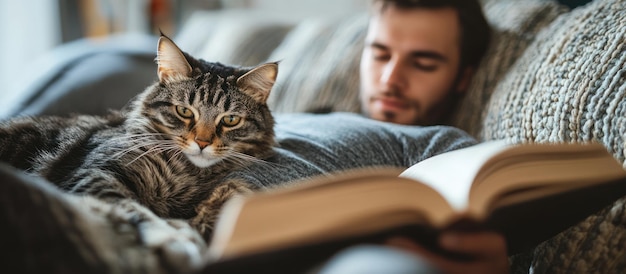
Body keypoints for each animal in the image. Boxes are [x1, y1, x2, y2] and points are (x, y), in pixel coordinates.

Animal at [0, 34, 278, 242]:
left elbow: (226, 195)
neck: (185, 172)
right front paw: (170, 235)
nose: (202, 143)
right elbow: (132, 208)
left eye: (230, 120)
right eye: (184, 111)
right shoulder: (95, 172)